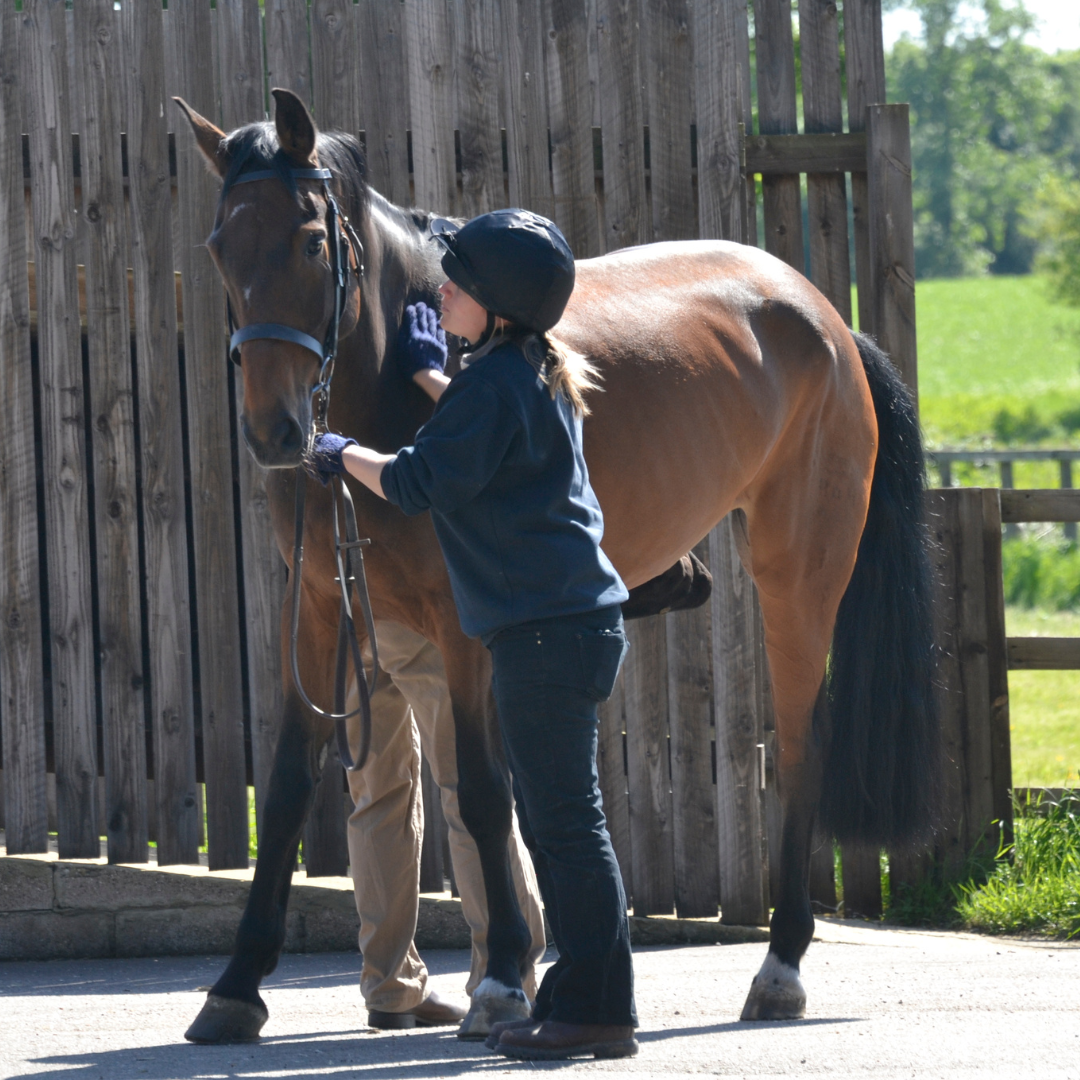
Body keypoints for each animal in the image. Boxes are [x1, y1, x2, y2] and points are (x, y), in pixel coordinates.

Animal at [176, 88, 939, 1043]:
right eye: (219, 248)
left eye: (312, 242)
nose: (276, 431)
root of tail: (827, 320)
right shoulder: (318, 610)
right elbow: (284, 791)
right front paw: (235, 985)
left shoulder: (463, 627)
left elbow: (480, 791)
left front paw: (503, 977)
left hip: (798, 576)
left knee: (801, 748)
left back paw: (780, 965)